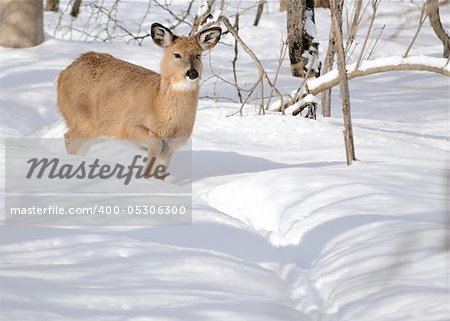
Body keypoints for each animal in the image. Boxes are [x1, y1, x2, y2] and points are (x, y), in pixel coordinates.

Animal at [56, 23, 221, 178]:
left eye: (198, 55)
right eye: (177, 55)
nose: (192, 73)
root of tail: (63, 75)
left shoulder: (172, 145)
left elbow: (160, 172)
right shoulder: (129, 125)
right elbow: (155, 144)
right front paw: (143, 177)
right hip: (81, 118)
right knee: (69, 138)